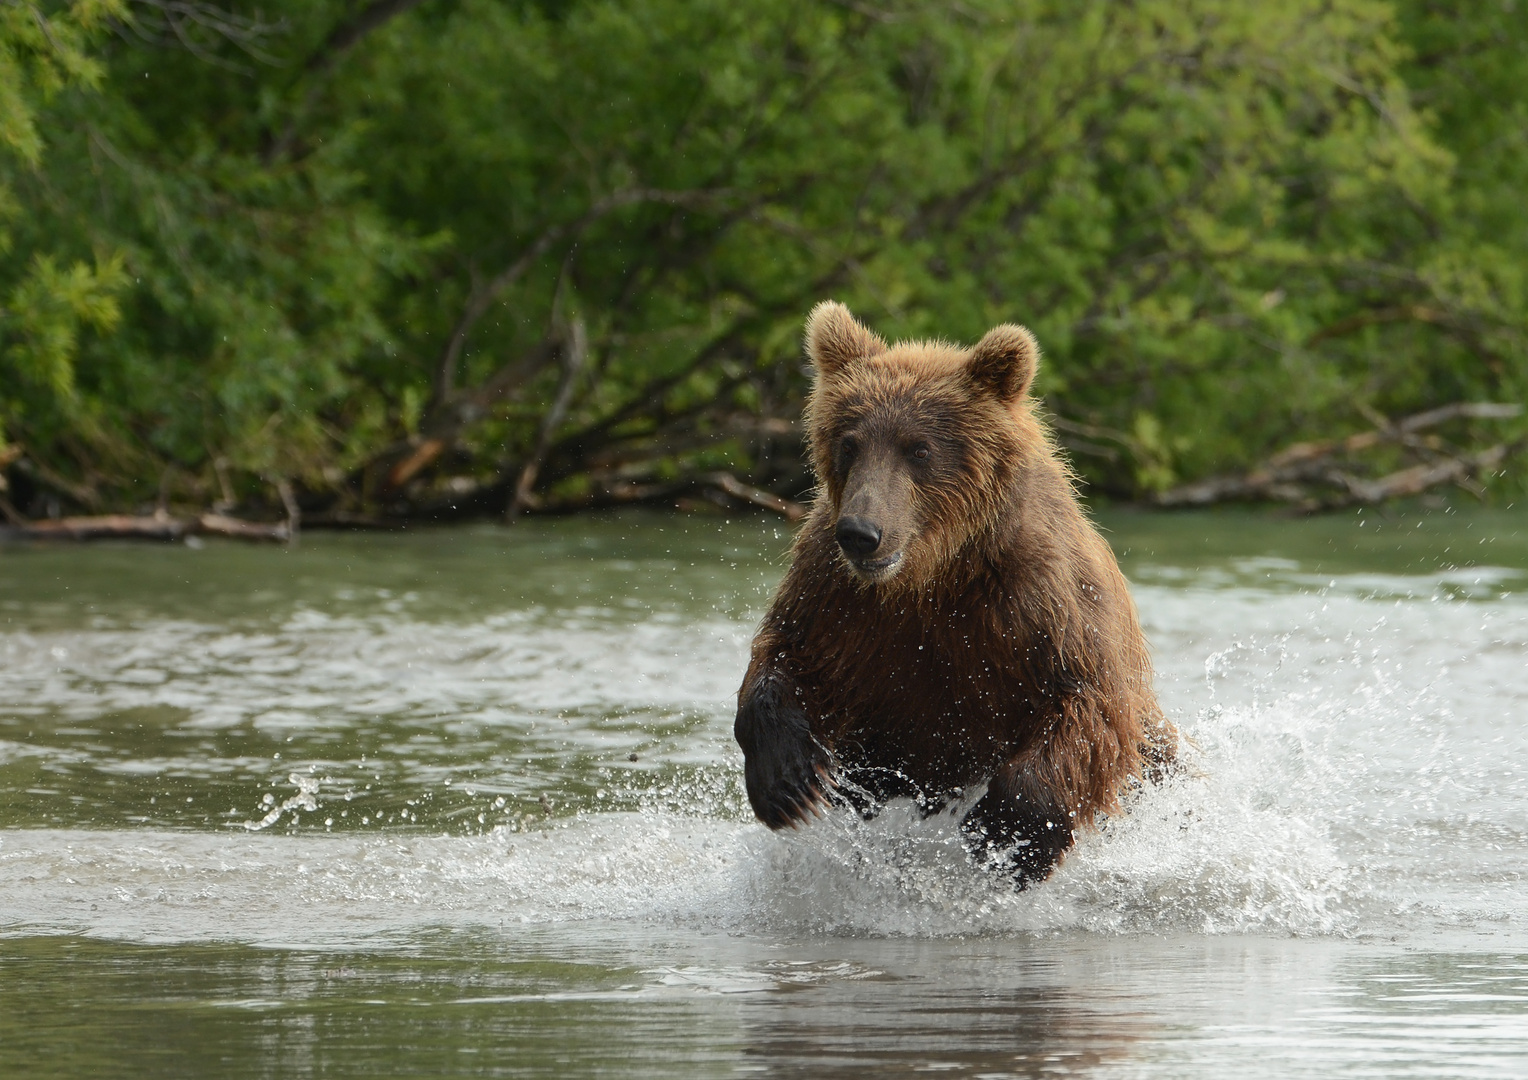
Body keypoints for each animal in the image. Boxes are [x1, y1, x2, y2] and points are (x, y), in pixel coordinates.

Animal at [733, 302, 1173, 885]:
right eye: (849, 443)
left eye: (919, 448)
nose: (861, 532)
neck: (934, 574)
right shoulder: (838, 597)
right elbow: (786, 654)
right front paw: (787, 781)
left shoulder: (1041, 602)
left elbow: (1090, 704)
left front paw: (1005, 835)